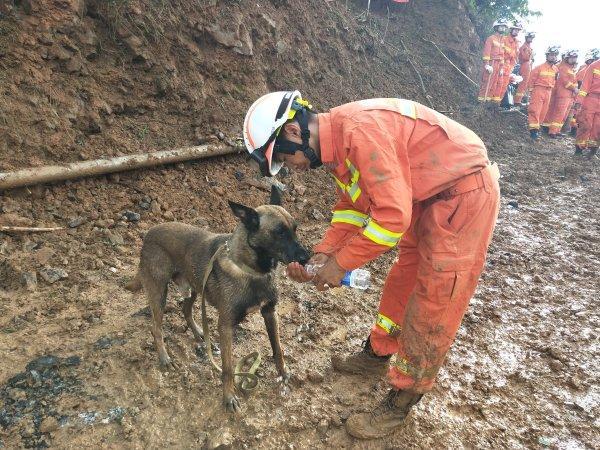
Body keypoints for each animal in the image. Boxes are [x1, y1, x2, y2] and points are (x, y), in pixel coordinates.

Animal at [126, 186, 310, 412]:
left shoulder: (270, 312)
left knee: (185, 308)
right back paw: (164, 357)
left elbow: (278, 348)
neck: (253, 270)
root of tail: (149, 233)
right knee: (156, 327)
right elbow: (228, 367)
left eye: (295, 228)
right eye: (279, 232)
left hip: (195, 287)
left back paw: (200, 334)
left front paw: (283, 373)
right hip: (159, 291)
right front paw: (229, 397)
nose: (307, 257)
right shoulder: (226, 325)